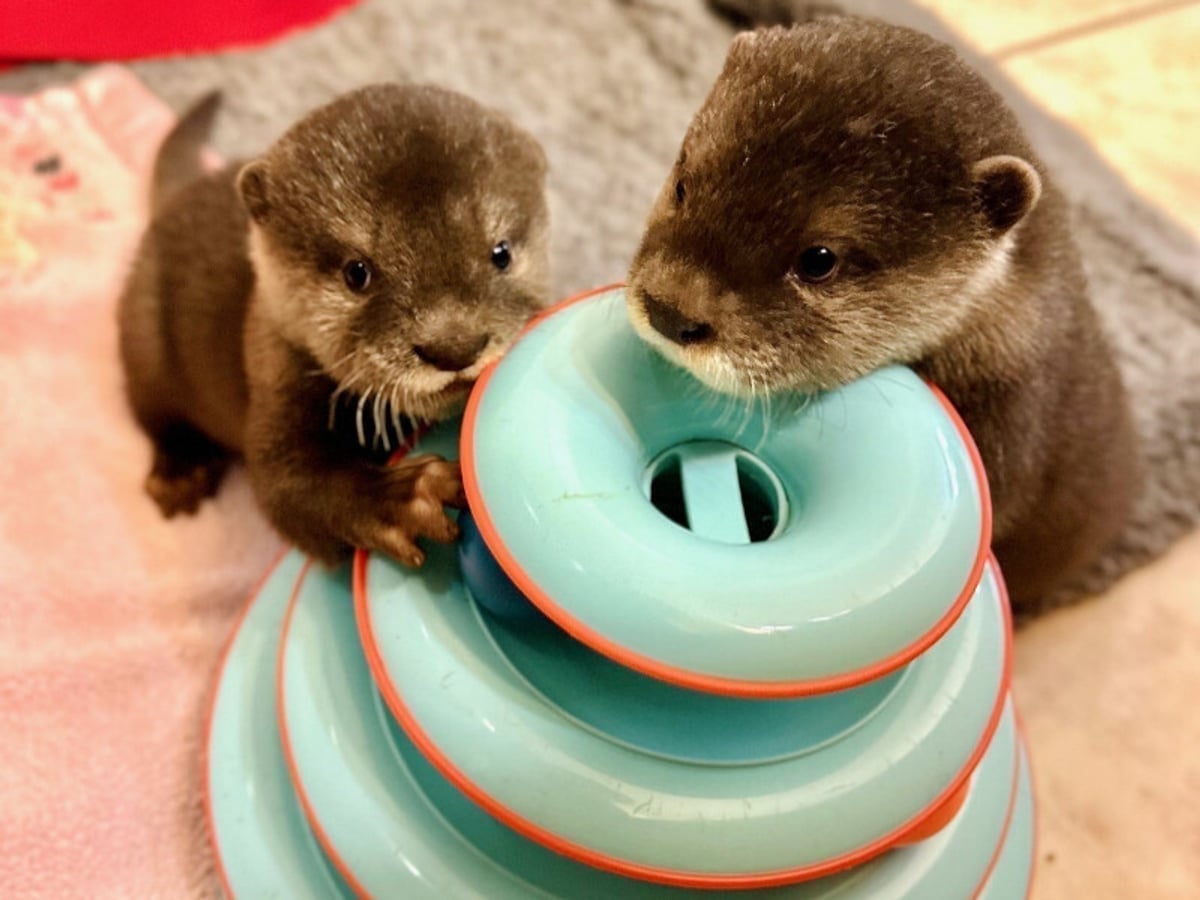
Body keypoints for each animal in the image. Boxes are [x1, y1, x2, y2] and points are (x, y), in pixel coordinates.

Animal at [118, 84, 551, 567]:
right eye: (357, 272)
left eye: (501, 252)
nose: (454, 345)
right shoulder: (272, 373)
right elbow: (284, 484)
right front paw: (408, 497)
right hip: (143, 335)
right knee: (151, 410)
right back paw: (181, 471)